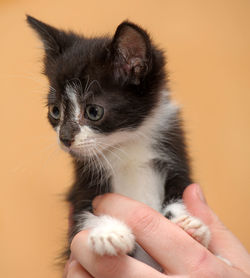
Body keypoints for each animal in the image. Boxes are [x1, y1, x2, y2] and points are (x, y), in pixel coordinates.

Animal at [27, 15, 210, 270]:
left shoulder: (175, 159)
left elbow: (180, 192)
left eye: (93, 111)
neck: (126, 146)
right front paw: (108, 232)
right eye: (55, 111)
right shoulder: (83, 183)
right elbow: (83, 215)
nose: (65, 138)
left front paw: (188, 223)